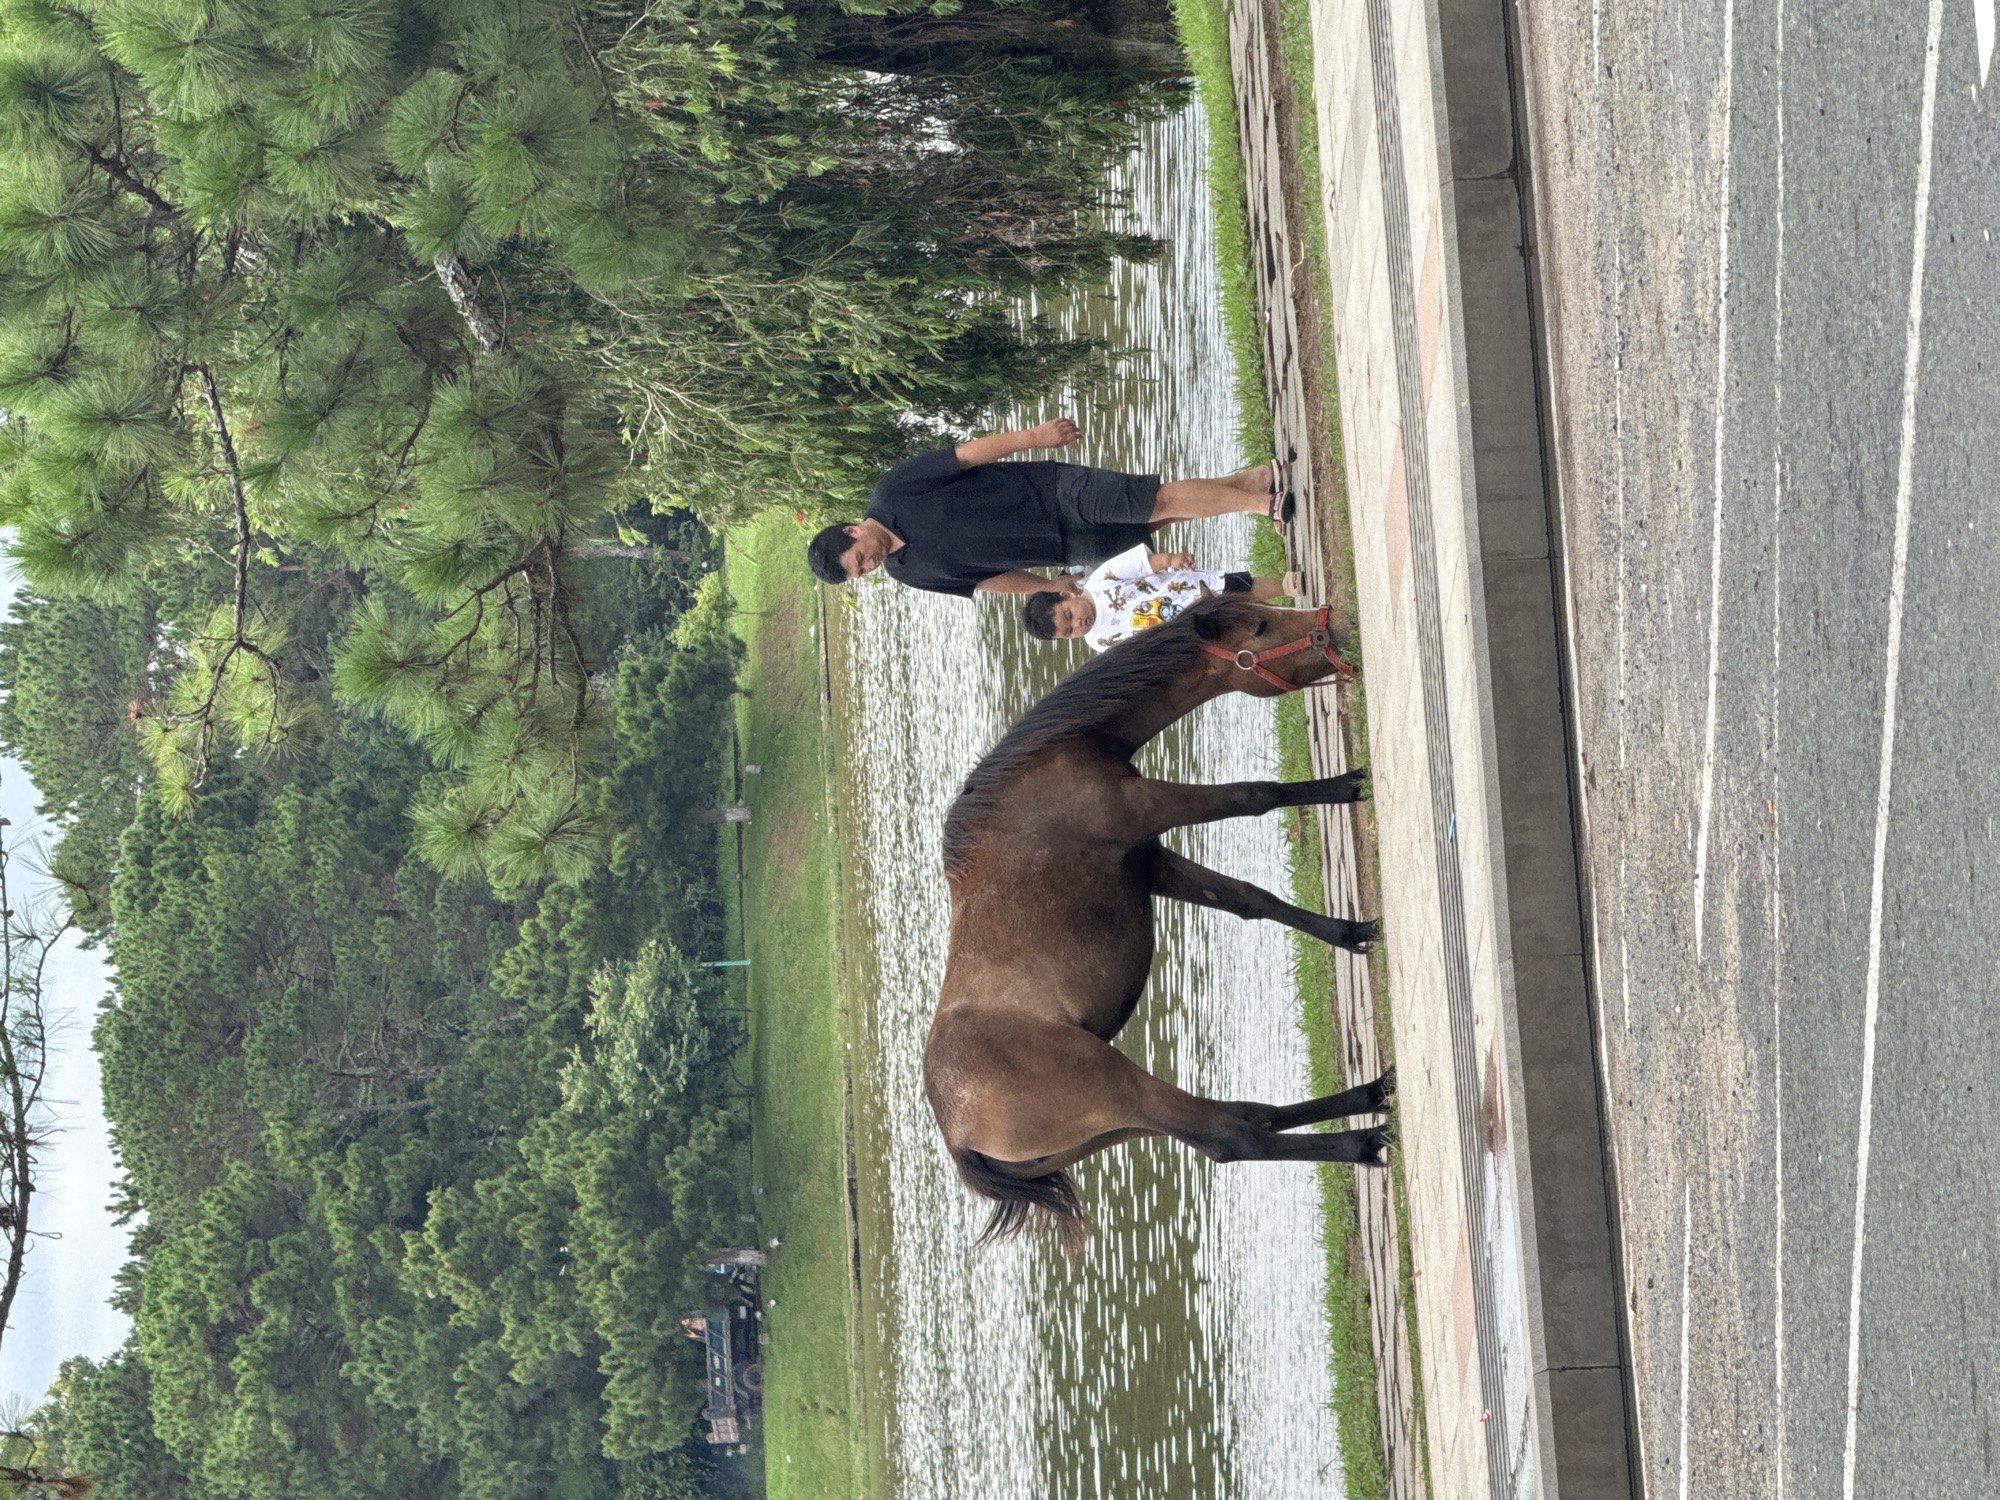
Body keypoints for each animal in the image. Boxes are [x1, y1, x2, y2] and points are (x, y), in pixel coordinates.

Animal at [924, 592, 1395, 1254]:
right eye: (1260, 625)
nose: (1338, 624)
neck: (1053, 761)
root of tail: (959, 1137)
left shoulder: (1148, 861)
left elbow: (1251, 899)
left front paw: (1352, 932)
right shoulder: (1151, 808)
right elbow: (1256, 794)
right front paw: (1346, 788)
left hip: (1117, 1128)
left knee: (1242, 1115)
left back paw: (1373, 1093)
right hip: (1122, 1091)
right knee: (1231, 1137)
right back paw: (1363, 1140)